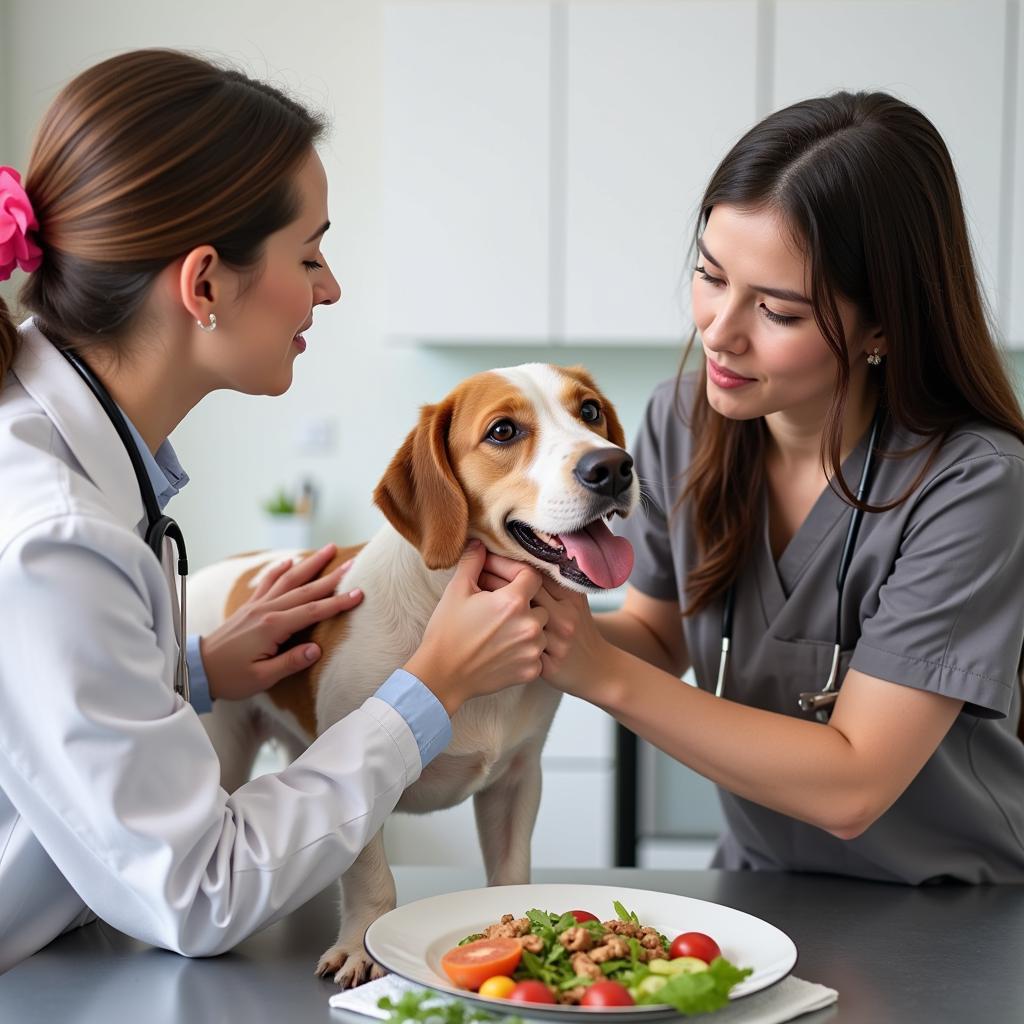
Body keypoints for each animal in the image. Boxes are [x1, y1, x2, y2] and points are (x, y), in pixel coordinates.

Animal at [188, 366, 634, 983]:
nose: (613, 466)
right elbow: (372, 879)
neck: (445, 600)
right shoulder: (360, 789)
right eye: (503, 430)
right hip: (227, 755)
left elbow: (511, 870)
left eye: (589, 411)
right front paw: (359, 947)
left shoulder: (518, 780)